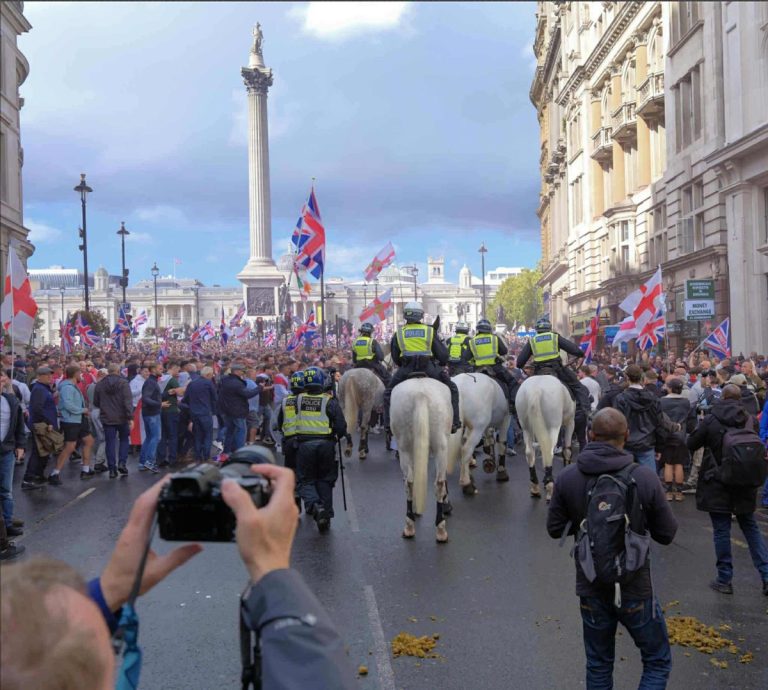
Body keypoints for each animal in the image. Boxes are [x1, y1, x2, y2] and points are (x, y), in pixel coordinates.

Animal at [390, 377, 461, 542]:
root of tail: (420, 395)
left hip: (406, 448)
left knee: (411, 482)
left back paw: (413, 525)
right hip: (440, 447)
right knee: (438, 482)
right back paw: (438, 527)